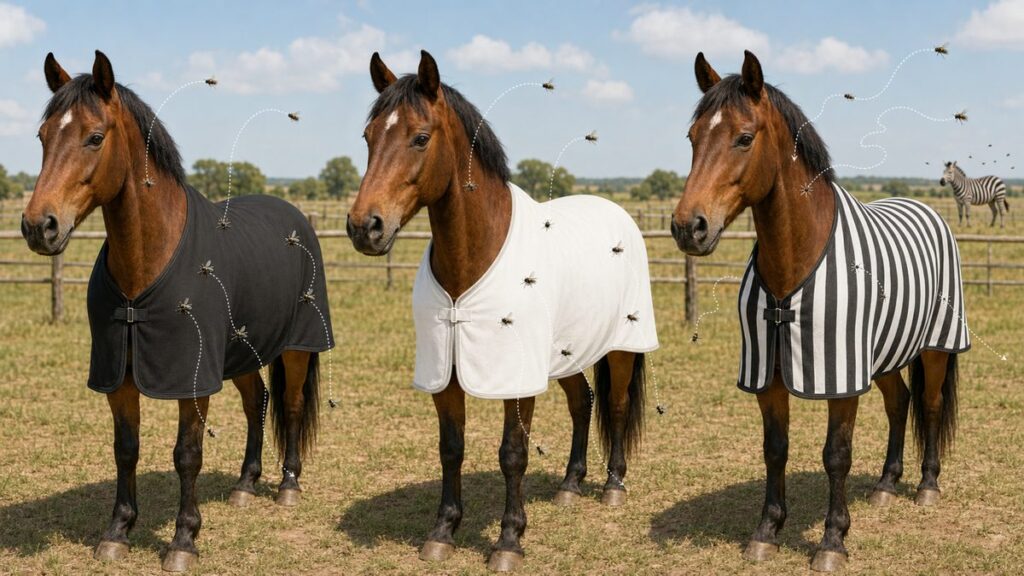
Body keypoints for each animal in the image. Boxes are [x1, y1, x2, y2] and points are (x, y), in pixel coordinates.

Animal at [20, 51, 333, 572]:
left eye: (95, 136)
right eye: (42, 136)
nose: (38, 227)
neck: (146, 265)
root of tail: (295, 217)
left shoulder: (192, 379)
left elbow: (187, 455)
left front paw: (184, 540)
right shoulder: (120, 377)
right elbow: (126, 449)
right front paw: (118, 532)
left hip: (296, 347)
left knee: (288, 404)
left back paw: (288, 485)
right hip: (241, 354)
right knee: (257, 402)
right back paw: (245, 484)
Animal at [347, 50, 658, 572]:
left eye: (420, 137)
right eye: (368, 136)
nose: (364, 227)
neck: (473, 257)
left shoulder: (517, 379)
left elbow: (513, 453)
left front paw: (509, 540)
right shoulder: (445, 373)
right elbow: (451, 448)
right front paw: (443, 531)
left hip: (620, 346)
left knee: (613, 405)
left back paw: (613, 485)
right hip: (566, 352)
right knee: (583, 402)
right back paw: (570, 485)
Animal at [671, 51, 969, 572]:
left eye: (744, 137)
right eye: (692, 137)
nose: (689, 227)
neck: (794, 262)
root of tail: (928, 210)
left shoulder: (842, 377)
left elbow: (836, 456)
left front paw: (832, 540)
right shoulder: (769, 374)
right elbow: (775, 450)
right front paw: (766, 532)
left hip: (935, 347)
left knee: (929, 405)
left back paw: (927, 486)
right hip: (885, 353)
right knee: (899, 404)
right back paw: (887, 485)